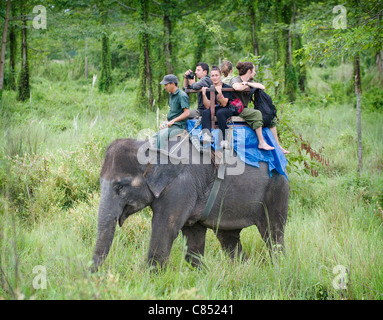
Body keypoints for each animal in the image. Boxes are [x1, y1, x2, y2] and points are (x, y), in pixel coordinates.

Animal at [91, 136, 290, 272]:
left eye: (120, 186)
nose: (92, 276)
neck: (151, 147)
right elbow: (194, 238)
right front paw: (201, 275)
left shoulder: (181, 187)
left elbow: (165, 229)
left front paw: (152, 280)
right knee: (228, 238)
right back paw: (243, 269)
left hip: (277, 190)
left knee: (273, 233)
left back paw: (279, 267)